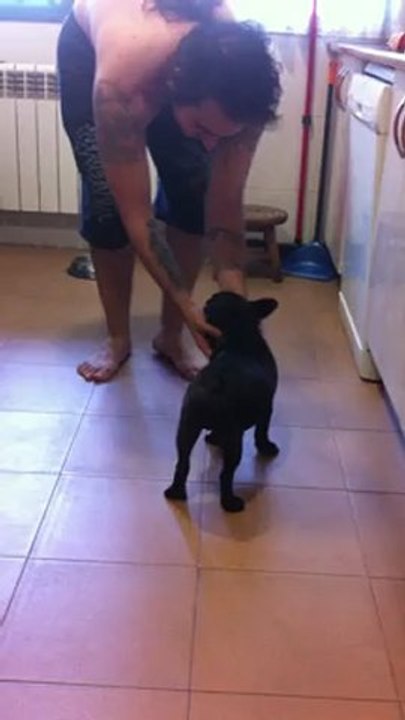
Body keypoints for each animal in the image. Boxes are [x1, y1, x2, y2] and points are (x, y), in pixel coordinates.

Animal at [165, 291, 279, 512]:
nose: (208, 301)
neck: (238, 333)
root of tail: (214, 384)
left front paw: (212, 438)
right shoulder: (267, 407)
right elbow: (262, 431)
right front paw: (266, 447)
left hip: (187, 426)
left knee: (183, 462)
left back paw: (176, 492)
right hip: (234, 439)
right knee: (226, 474)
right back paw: (230, 502)